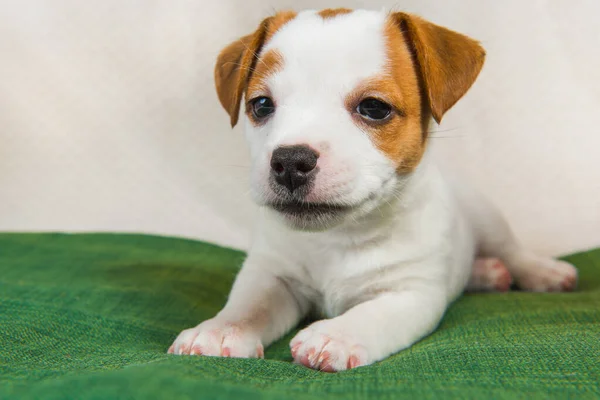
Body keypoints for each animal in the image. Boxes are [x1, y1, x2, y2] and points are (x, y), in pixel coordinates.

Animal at [168, 8, 576, 372]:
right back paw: (489, 273)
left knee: (512, 251)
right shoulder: (272, 273)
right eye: (262, 105)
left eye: (374, 108)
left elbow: (373, 313)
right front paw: (221, 329)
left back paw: (542, 273)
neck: (338, 238)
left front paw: (335, 336)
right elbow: (250, 305)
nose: (290, 161)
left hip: (487, 218)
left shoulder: (411, 293)